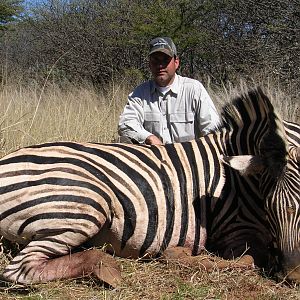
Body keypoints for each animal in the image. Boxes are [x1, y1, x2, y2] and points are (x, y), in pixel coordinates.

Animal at [0, 86, 298, 286]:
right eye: (269, 207)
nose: (293, 275)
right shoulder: (235, 230)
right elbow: (246, 261)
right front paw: (188, 255)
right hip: (85, 204)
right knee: (19, 269)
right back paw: (106, 268)